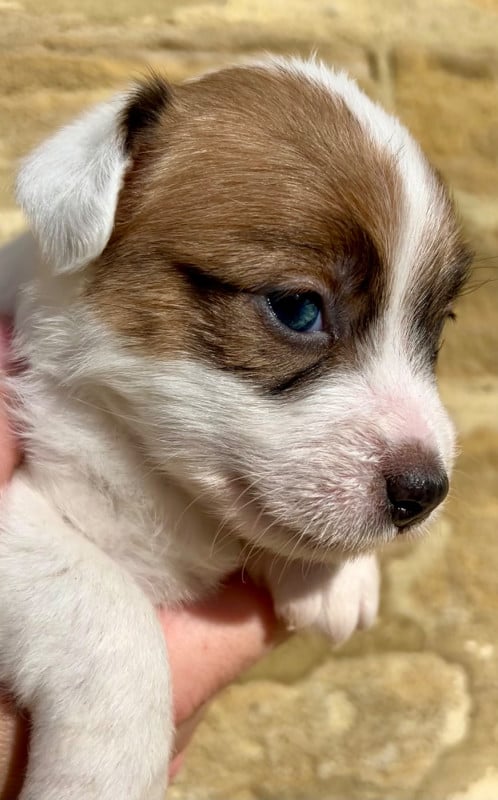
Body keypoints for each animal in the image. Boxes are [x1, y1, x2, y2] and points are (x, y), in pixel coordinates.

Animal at [0, 57, 471, 798]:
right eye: (297, 308)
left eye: (439, 325)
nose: (425, 492)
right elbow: (104, 607)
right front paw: (103, 774)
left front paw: (333, 577)